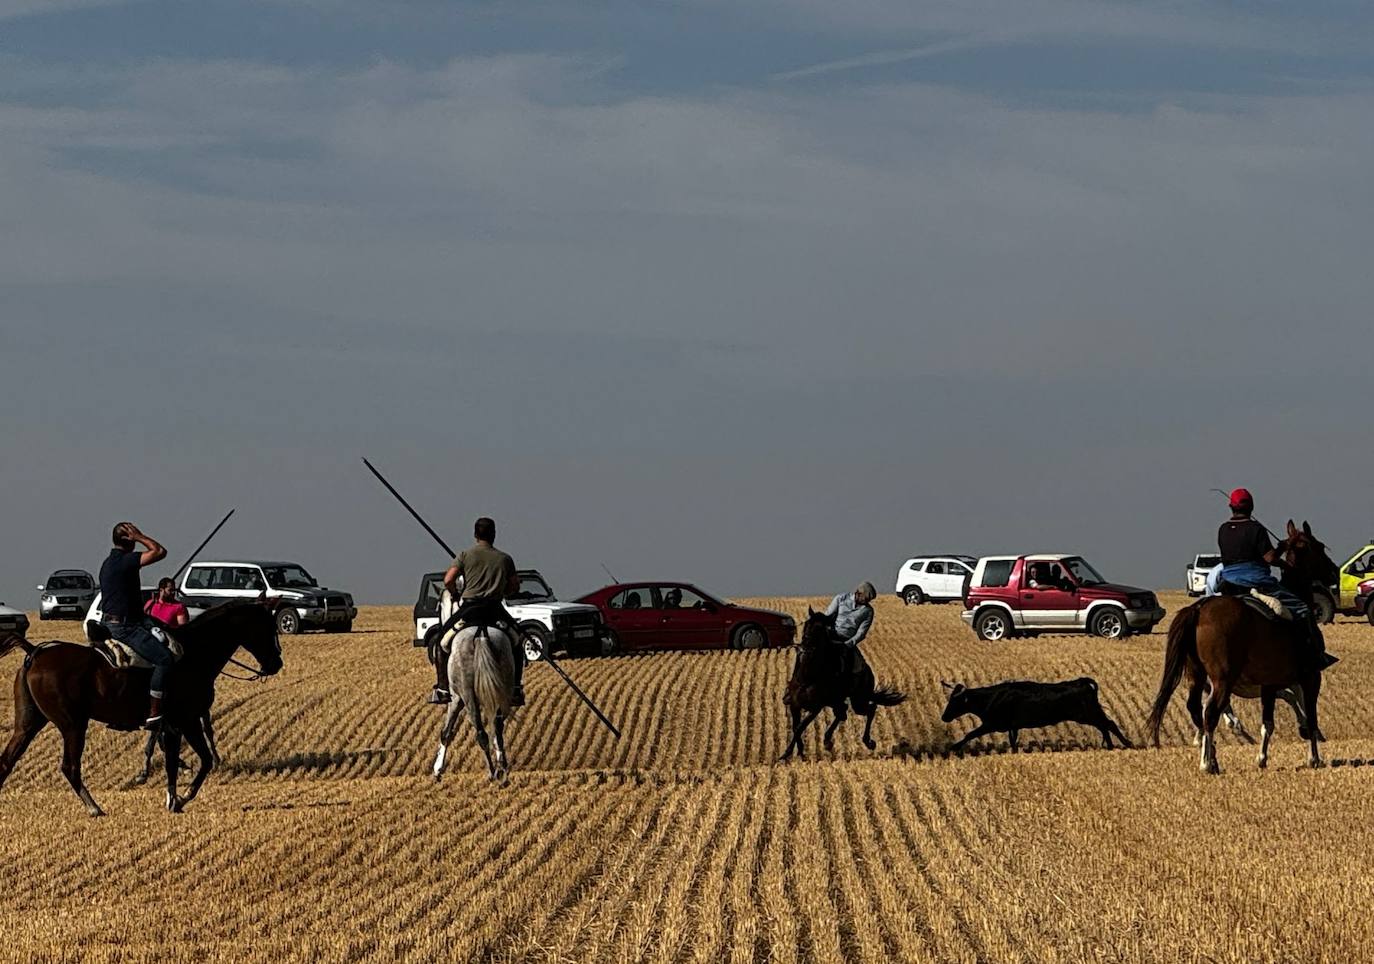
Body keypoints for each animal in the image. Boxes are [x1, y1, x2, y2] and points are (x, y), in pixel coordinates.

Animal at [0, 604, 283, 812]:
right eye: (267, 627)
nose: (276, 663)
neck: (194, 654)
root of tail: (35, 652)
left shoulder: (172, 727)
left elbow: (173, 762)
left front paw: (173, 799)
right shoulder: (186, 721)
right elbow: (202, 761)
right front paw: (180, 798)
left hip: (28, 725)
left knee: (7, 761)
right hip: (73, 726)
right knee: (70, 767)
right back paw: (94, 808)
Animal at [780, 612, 906, 763]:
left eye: (820, 629)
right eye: (806, 624)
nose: (805, 647)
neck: (808, 676)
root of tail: (868, 671)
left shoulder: (815, 708)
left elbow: (800, 727)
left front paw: (787, 754)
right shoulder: (795, 705)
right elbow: (796, 728)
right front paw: (799, 753)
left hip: (858, 701)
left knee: (870, 709)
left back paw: (868, 742)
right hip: (836, 701)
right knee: (843, 713)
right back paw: (827, 740)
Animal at [939, 681, 1132, 758]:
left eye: (955, 701)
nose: (944, 717)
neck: (992, 697)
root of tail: (1082, 683)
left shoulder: (992, 724)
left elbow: (970, 734)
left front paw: (953, 747)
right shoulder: (1012, 727)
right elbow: (1013, 742)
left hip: (1086, 714)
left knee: (1108, 724)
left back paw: (1125, 743)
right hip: (1090, 714)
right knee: (1105, 726)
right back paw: (1111, 746)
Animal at [1148, 521, 1341, 779]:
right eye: (1318, 547)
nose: (1334, 572)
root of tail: (1199, 608)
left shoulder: (1270, 684)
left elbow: (1268, 723)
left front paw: (1262, 758)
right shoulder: (1311, 676)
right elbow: (1310, 716)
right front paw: (1314, 758)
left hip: (1196, 674)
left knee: (1197, 710)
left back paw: (1212, 756)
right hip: (1222, 679)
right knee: (1211, 712)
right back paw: (1207, 763)